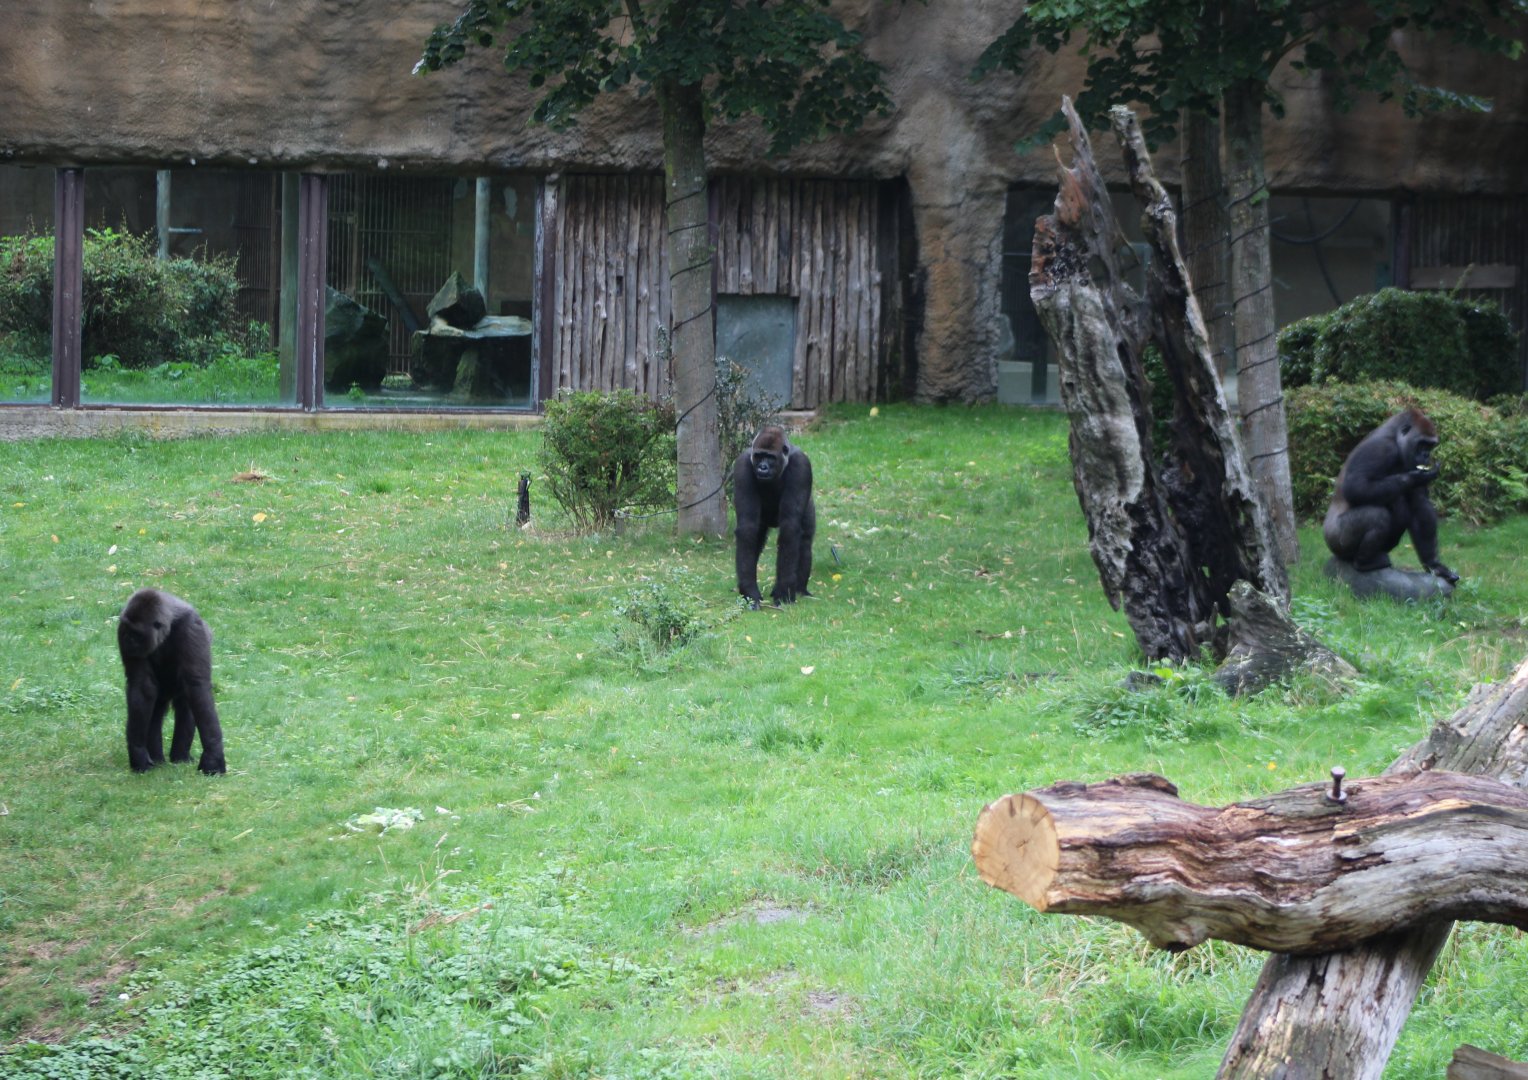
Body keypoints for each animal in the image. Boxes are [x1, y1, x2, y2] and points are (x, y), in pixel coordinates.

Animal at [117, 588, 226, 774]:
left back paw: (180, 757)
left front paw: (213, 757)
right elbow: (142, 688)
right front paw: (138, 751)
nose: (127, 640)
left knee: (187, 705)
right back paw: (157, 758)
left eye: (136, 633)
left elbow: (197, 687)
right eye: (127, 631)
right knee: (155, 711)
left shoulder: (191, 628)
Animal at [733, 425, 816, 609]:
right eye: (759, 456)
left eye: (770, 457)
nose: (762, 467)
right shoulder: (742, 465)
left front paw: (784, 591)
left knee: (805, 541)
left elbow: (790, 528)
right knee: (756, 540)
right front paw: (749, 592)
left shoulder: (801, 465)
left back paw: (799, 589)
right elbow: (748, 528)